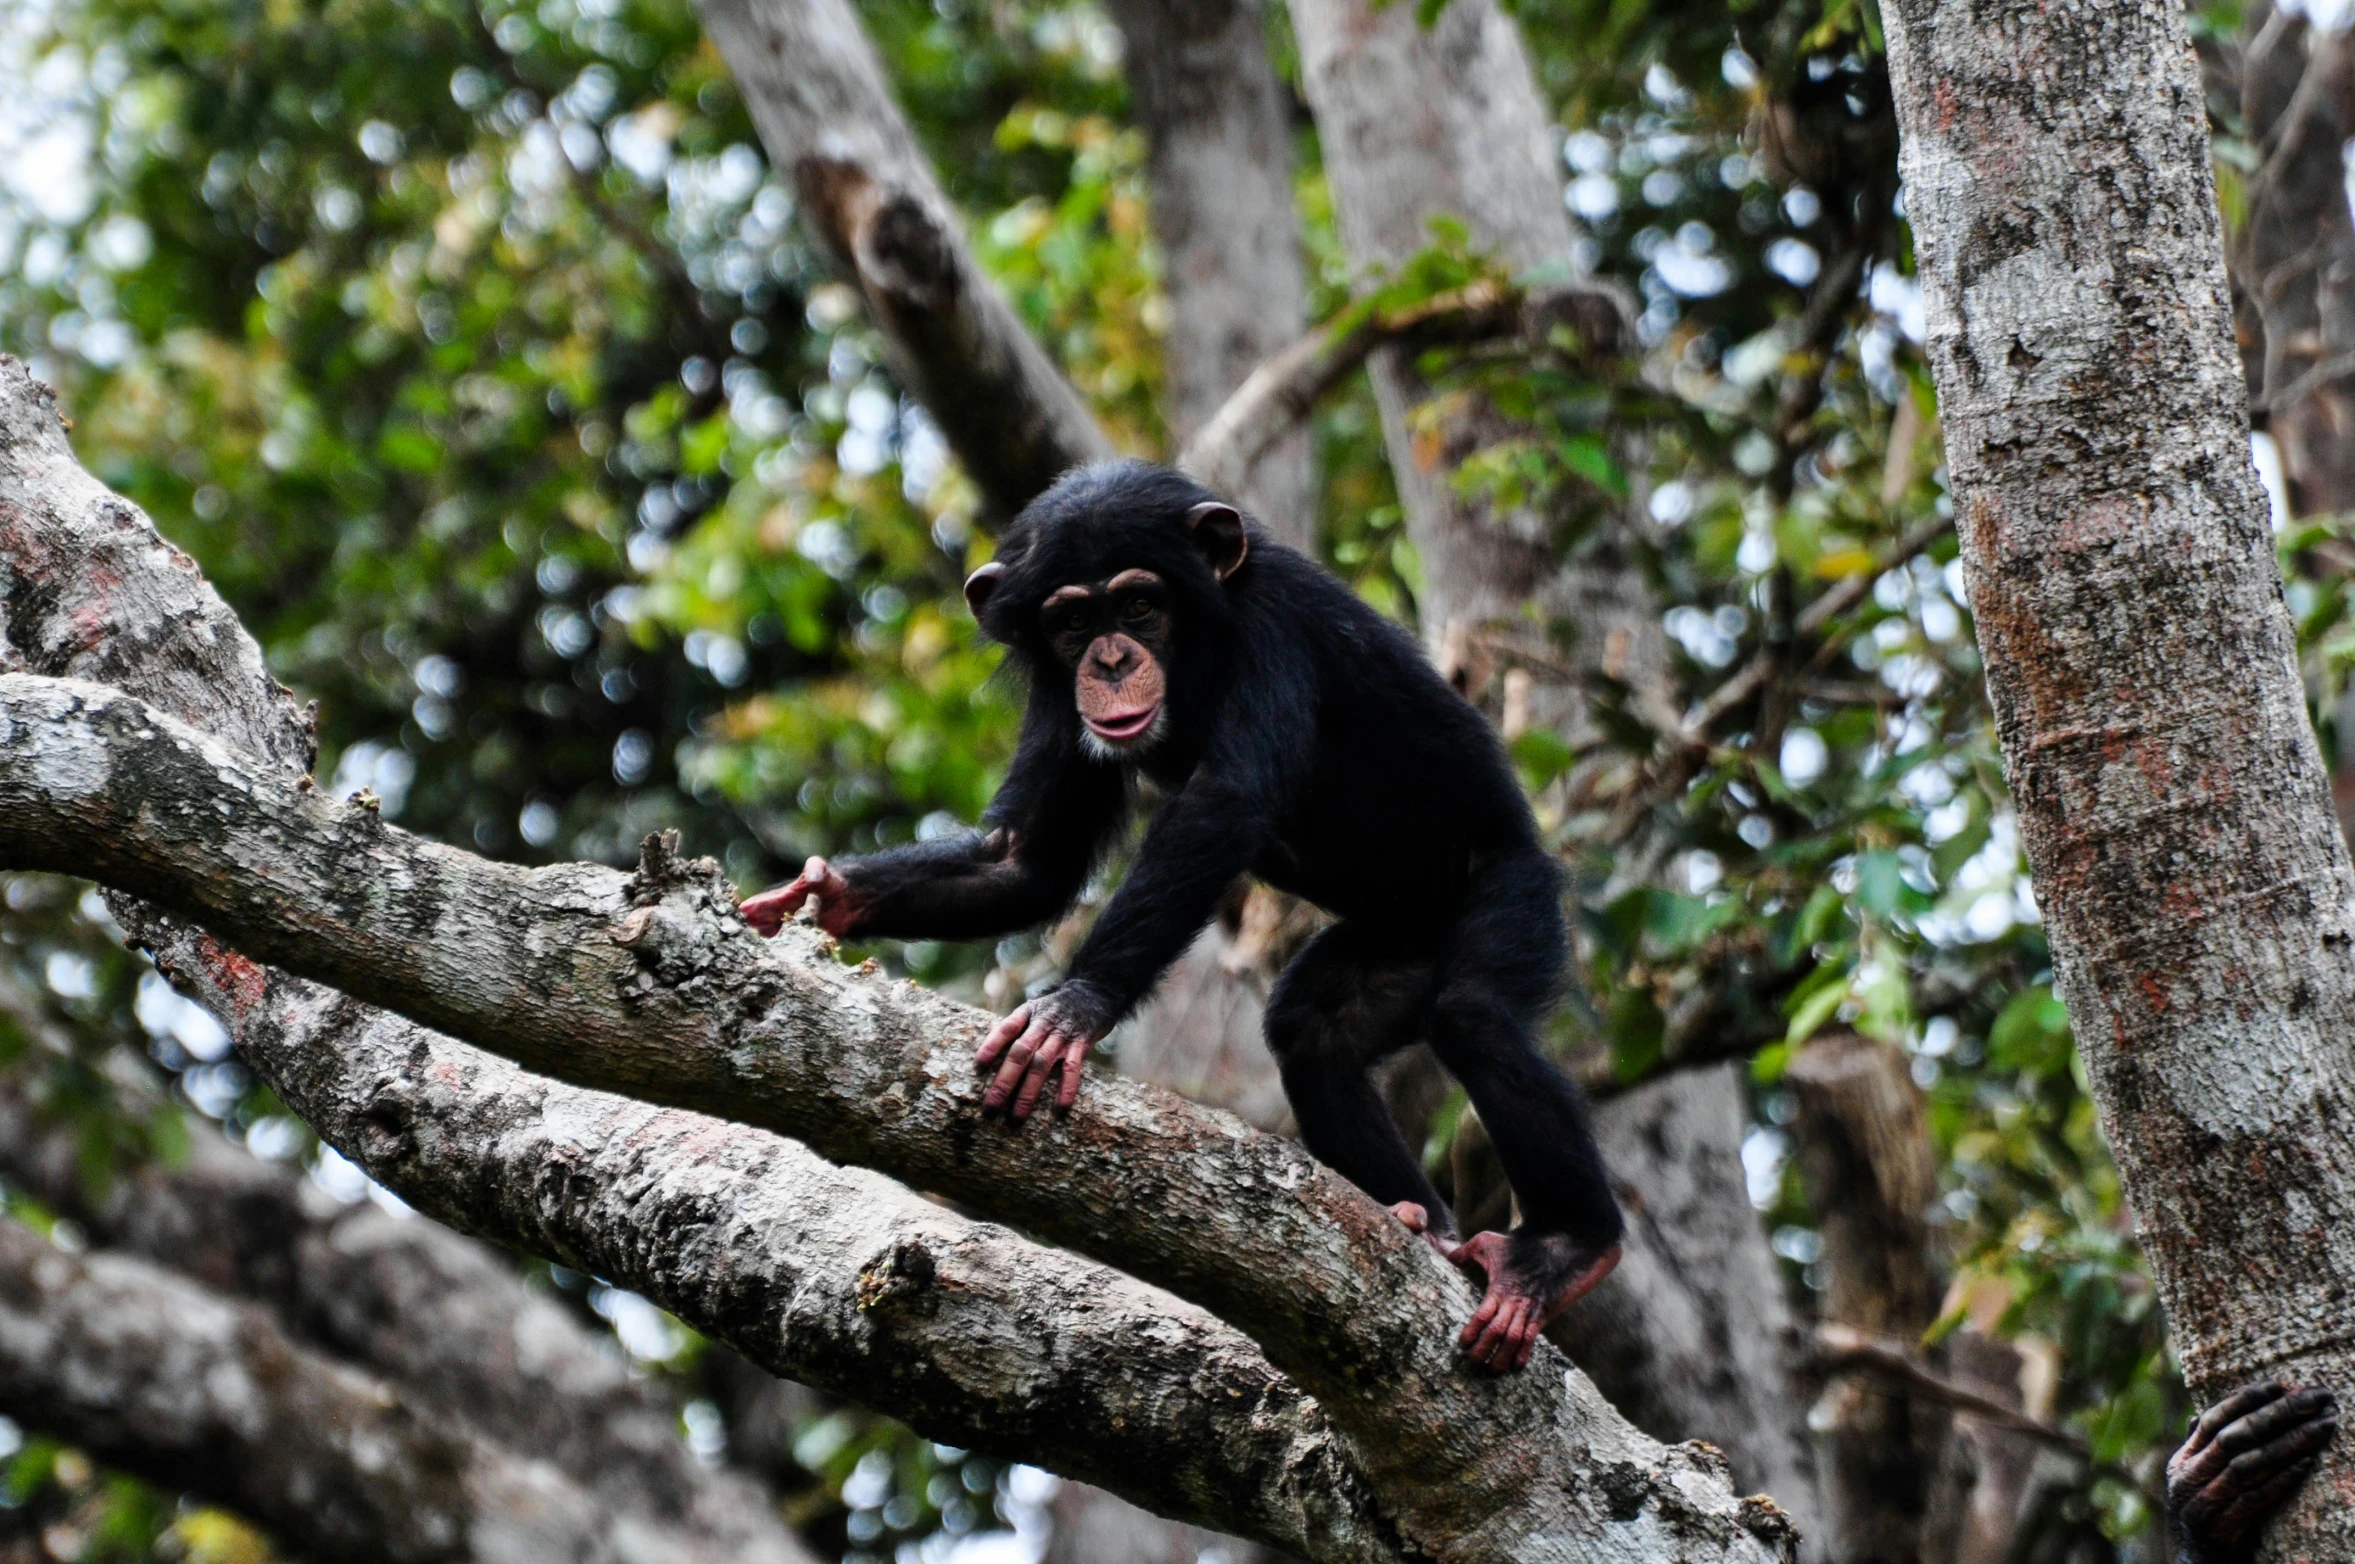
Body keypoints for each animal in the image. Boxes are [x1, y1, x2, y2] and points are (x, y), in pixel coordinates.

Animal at [744, 459, 1629, 1366]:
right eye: (1070, 621)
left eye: (1139, 604)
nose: (1108, 659)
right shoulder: (1055, 694)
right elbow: (1029, 861)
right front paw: (828, 895)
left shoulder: (1275, 627)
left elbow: (1222, 803)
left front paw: (1070, 1011)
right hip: (1398, 942)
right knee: (1313, 1033)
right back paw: (1417, 1219)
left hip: (1513, 890)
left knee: (1474, 1016)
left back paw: (1566, 1249)